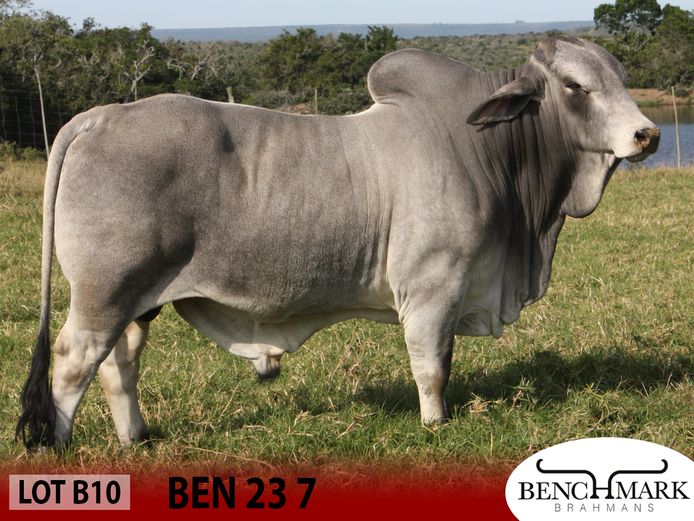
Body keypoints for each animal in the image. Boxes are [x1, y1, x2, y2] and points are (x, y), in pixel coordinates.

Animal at [17, 36, 659, 449]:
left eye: (621, 80)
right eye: (575, 86)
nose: (647, 134)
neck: (488, 150)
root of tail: (99, 116)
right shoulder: (433, 286)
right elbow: (432, 365)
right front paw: (435, 426)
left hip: (137, 299)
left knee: (120, 361)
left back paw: (136, 439)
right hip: (104, 291)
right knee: (74, 360)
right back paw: (63, 446)